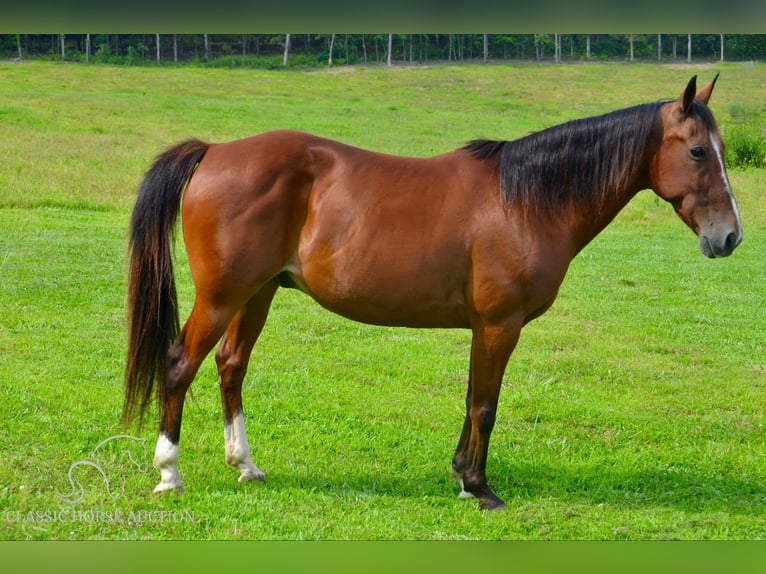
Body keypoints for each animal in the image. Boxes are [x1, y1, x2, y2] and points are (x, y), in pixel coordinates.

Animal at [124, 74, 744, 510]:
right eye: (697, 151)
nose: (730, 236)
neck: (525, 199)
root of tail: (214, 150)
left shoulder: (483, 327)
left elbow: (472, 399)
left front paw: (462, 475)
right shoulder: (500, 324)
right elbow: (486, 405)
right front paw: (481, 487)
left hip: (257, 294)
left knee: (231, 366)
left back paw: (246, 465)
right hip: (222, 297)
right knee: (179, 364)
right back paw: (169, 473)